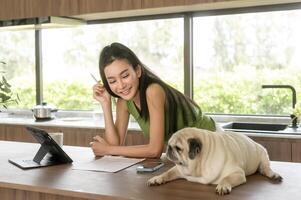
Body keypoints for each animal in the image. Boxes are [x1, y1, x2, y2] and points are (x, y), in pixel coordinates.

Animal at [146, 127, 282, 195]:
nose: (168, 148)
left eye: (178, 148)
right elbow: (167, 173)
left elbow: (226, 178)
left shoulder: (237, 173)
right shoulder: (179, 170)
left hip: (263, 155)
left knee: (266, 169)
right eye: (169, 144)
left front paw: (222, 186)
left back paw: (274, 175)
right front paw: (157, 178)